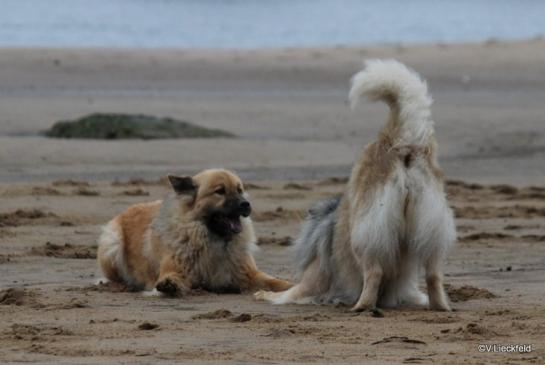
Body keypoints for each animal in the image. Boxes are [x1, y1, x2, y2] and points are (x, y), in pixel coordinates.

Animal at [98, 168, 294, 296]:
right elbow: (172, 277)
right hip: (113, 243)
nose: (246, 205)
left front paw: (290, 286)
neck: (213, 239)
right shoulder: (176, 269)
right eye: (220, 191)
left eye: (240, 190)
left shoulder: (249, 274)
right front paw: (170, 285)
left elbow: (274, 282)